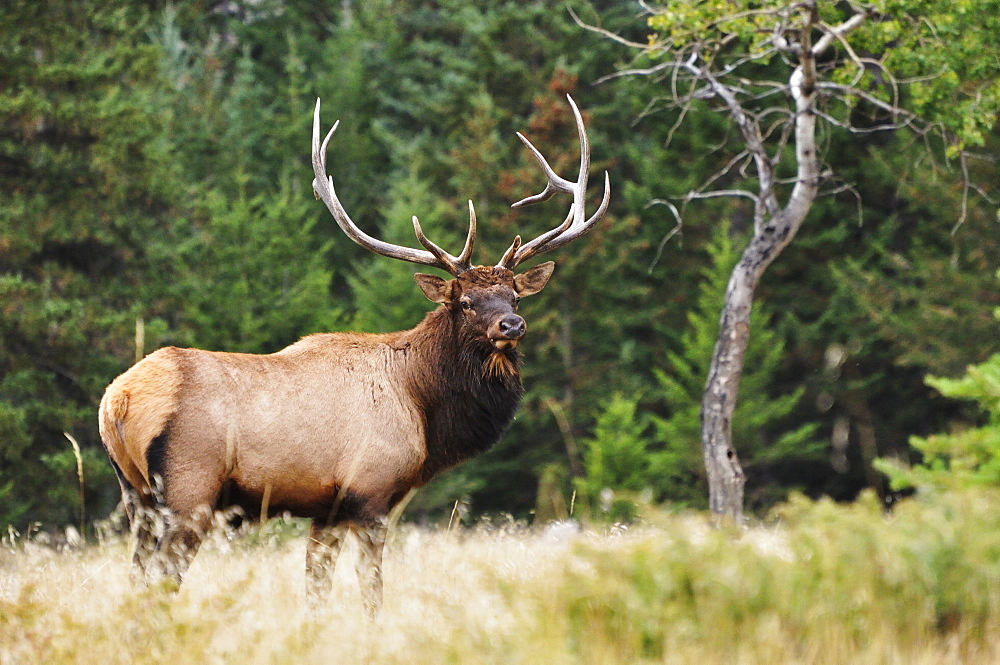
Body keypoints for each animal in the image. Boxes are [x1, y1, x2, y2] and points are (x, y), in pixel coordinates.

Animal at [99, 93, 608, 612]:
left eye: (515, 297)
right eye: (464, 301)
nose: (512, 325)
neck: (423, 405)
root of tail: (117, 401)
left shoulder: (327, 508)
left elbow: (316, 588)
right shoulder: (372, 492)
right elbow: (372, 589)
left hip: (136, 495)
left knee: (136, 576)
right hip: (189, 488)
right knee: (161, 579)